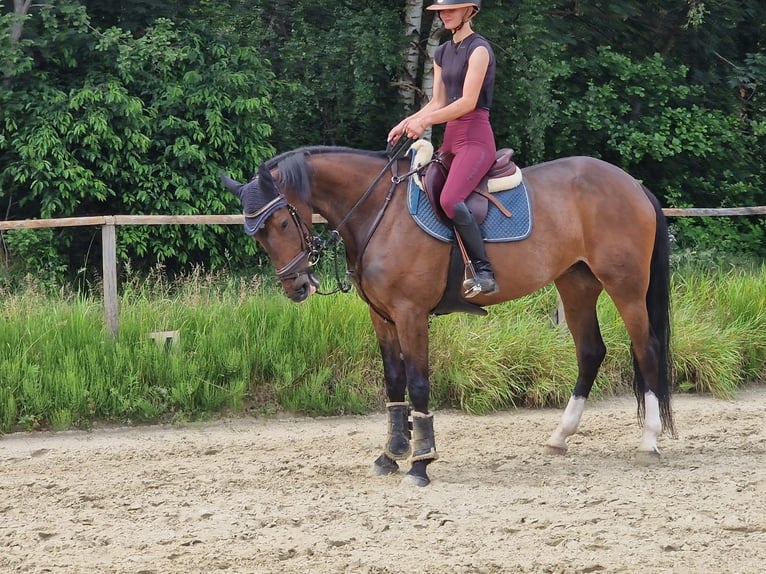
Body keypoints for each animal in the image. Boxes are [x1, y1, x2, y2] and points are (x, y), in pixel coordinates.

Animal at [222, 143, 680, 486]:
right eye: (256, 232)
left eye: (282, 223)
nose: (297, 286)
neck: (379, 211)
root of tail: (632, 184)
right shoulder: (382, 317)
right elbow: (394, 382)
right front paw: (392, 453)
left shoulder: (410, 313)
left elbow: (418, 383)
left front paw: (421, 461)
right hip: (576, 284)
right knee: (590, 352)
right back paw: (559, 436)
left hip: (625, 287)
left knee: (646, 349)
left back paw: (649, 441)